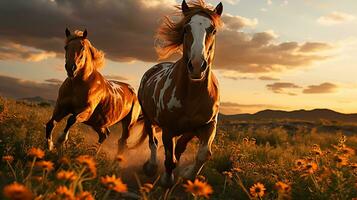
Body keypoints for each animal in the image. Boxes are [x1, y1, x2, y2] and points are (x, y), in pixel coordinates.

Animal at [138, 0, 221, 186]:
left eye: (213, 30)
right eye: (185, 28)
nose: (197, 65)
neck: (192, 95)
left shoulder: (208, 125)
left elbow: (203, 154)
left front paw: (187, 174)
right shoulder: (168, 129)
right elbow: (169, 158)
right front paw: (166, 179)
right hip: (147, 117)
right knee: (152, 141)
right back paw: (151, 167)